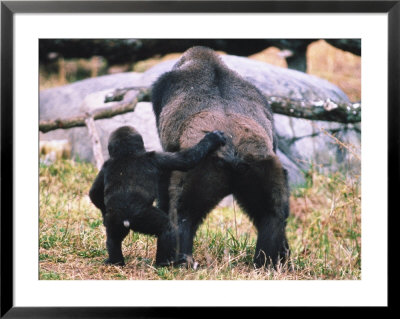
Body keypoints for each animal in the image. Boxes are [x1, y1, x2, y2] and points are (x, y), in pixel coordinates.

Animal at [89, 126, 225, 266]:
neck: (126, 153)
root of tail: (126, 219)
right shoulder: (156, 158)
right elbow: (187, 160)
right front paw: (212, 139)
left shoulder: (105, 166)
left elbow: (94, 194)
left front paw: (103, 213)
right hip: (144, 217)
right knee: (167, 229)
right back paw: (163, 263)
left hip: (115, 221)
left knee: (113, 238)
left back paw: (115, 261)